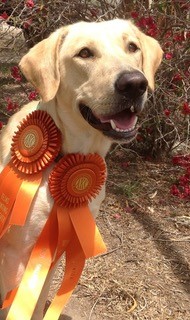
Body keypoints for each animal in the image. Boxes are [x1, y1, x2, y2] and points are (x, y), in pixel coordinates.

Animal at [0, 18, 163, 318]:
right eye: (85, 53)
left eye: (132, 47)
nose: (135, 84)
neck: (64, 158)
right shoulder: (16, 255)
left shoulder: (50, 255)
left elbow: (37, 305)